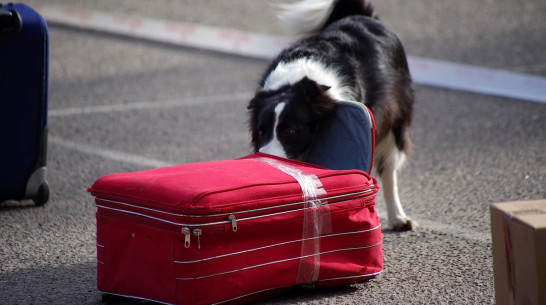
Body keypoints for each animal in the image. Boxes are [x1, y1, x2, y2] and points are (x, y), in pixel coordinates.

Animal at [249, 0, 414, 229]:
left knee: (389, 167)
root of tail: (362, 15)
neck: (296, 84)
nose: (263, 159)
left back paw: (398, 217)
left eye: (289, 132)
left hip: (396, 117)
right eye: (261, 131)